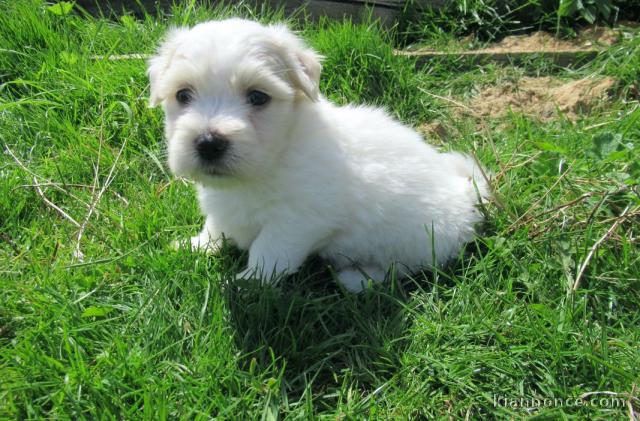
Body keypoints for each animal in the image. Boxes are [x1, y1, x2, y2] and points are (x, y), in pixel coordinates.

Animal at [149, 18, 490, 290]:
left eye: (258, 97)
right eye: (183, 95)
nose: (208, 142)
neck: (277, 155)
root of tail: (464, 193)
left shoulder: (299, 220)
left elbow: (269, 252)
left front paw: (248, 284)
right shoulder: (224, 205)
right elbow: (215, 226)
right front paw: (196, 246)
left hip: (422, 240)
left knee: (401, 269)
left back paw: (357, 278)